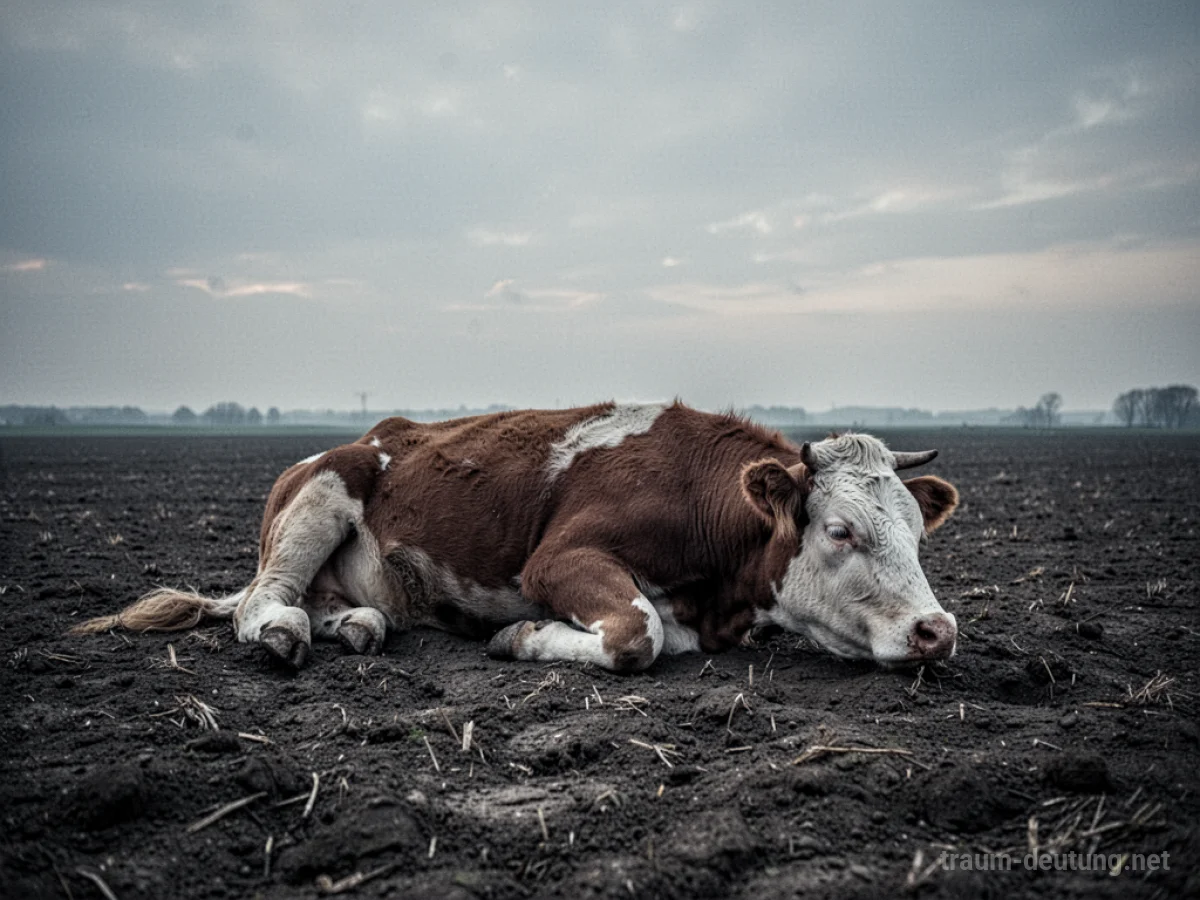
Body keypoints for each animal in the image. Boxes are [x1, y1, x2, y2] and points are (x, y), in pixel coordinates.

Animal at [71, 402, 961, 673]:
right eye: (840, 530)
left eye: (918, 535)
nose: (937, 630)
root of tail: (369, 433)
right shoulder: (559, 558)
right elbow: (636, 632)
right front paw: (520, 637)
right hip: (322, 493)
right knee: (265, 598)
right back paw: (288, 631)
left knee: (336, 603)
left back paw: (357, 624)